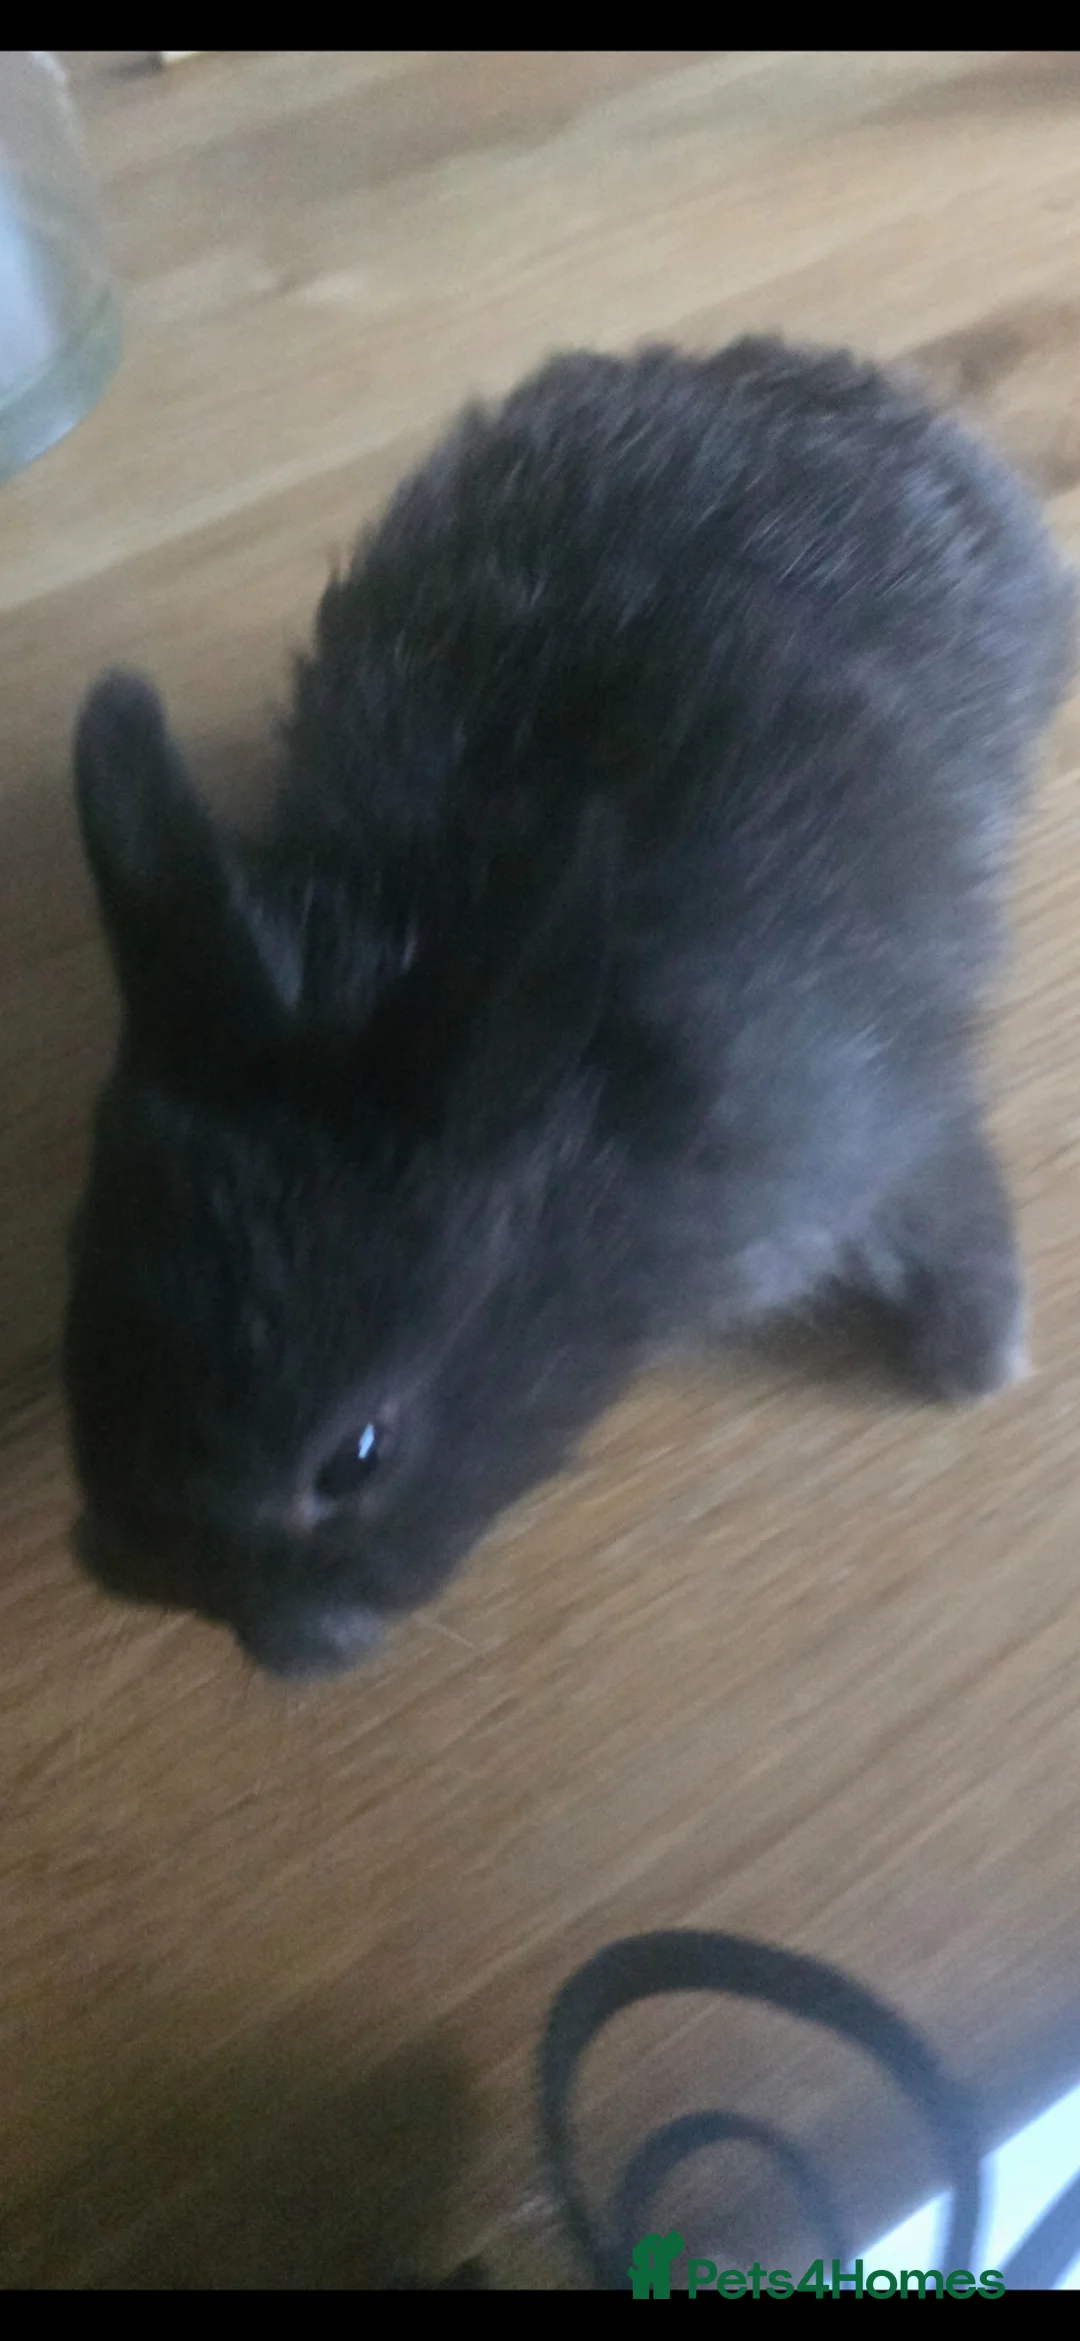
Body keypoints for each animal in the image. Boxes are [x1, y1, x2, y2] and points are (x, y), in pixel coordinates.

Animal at [64, 336, 1076, 1680]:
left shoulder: (870, 1123)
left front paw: (979, 1357)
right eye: (83, 1311)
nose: (181, 1592)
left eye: (357, 1455)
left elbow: (947, 1190)